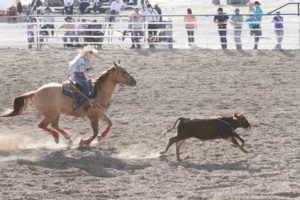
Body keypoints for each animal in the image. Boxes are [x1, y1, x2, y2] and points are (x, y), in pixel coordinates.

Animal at [0, 61, 137, 145]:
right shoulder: (92, 116)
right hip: (52, 113)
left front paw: (102, 136)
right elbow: (95, 132)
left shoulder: (100, 114)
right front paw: (84, 142)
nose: (134, 81)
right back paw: (57, 137)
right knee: (43, 125)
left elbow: (110, 123)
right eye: (123, 72)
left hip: (55, 114)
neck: (99, 92)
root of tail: (35, 92)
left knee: (53, 125)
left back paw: (67, 138)